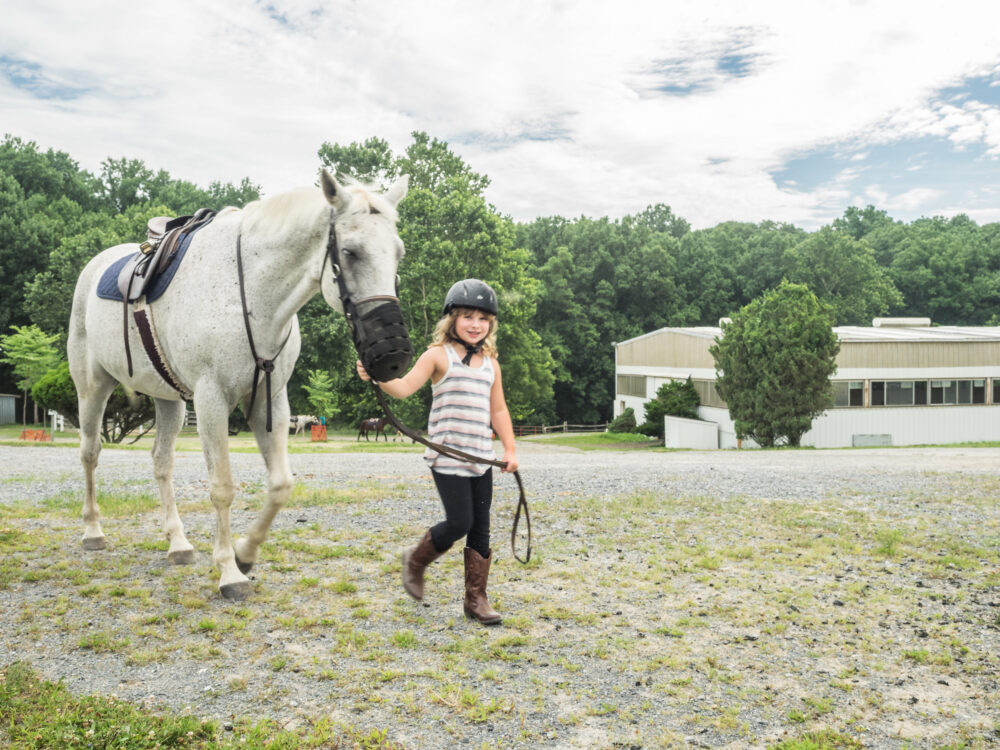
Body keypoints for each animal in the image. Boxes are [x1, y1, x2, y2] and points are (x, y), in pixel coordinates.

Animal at [68, 170, 413, 600]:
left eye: (398, 253)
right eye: (350, 252)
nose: (393, 355)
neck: (252, 297)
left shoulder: (270, 400)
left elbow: (280, 485)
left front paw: (246, 553)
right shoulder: (212, 399)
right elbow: (222, 488)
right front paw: (229, 571)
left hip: (170, 401)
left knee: (161, 462)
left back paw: (177, 543)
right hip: (93, 387)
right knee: (90, 454)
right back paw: (92, 531)